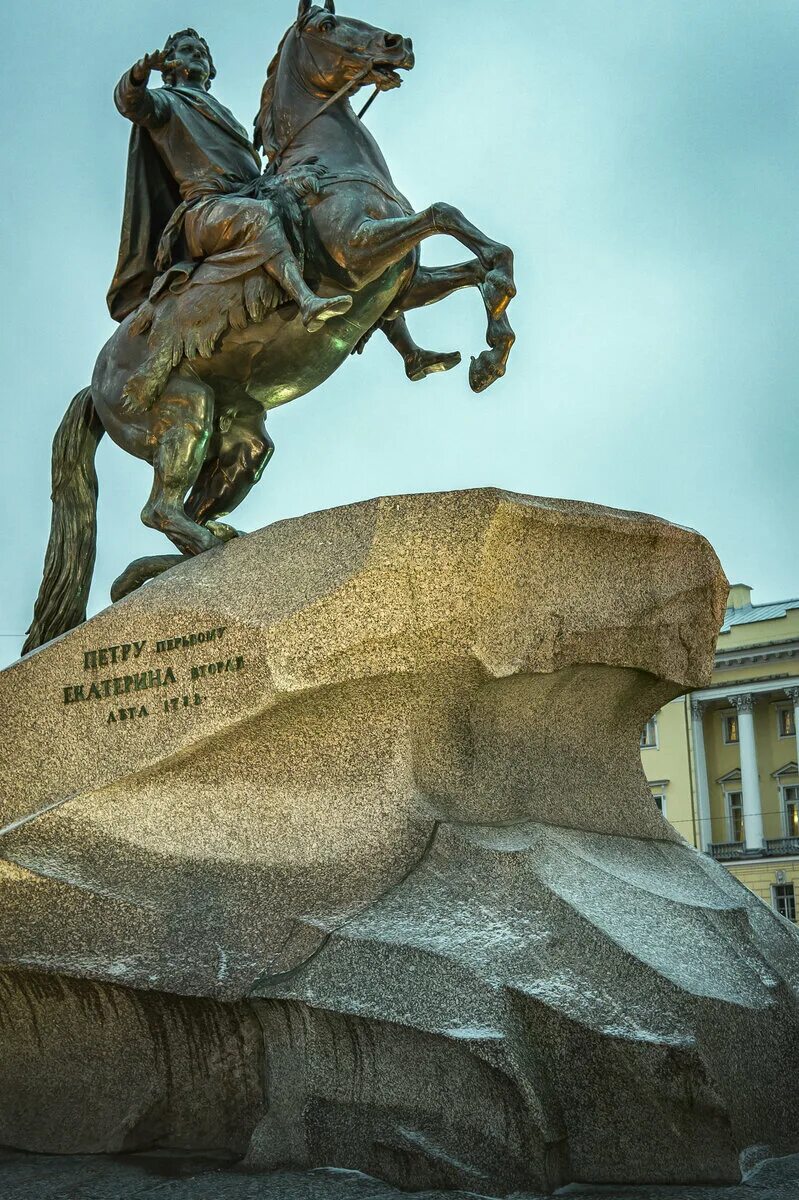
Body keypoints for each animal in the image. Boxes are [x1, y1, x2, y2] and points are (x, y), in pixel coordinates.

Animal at [23, 0, 515, 657]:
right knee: (161, 509)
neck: (329, 166)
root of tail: (94, 387)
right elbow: (445, 213)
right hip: (184, 412)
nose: (398, 42)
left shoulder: (398, 281)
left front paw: (491, 350)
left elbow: (476, 261)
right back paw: (209, 551)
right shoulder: (360, 253)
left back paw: (179, 560)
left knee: (185, 512)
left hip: (241, 448)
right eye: (326, 27)